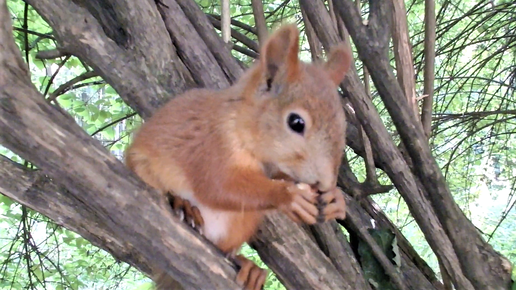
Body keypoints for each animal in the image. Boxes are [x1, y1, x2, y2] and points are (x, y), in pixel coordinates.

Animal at [124, 23, 350, 288]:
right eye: (296, 122)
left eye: (343, 124)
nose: (325, 183)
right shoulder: (210, 144)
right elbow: (218, 185)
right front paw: (289, 196)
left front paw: (336, 199)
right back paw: (183, 205)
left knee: (225, 247)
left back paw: (249, 267)